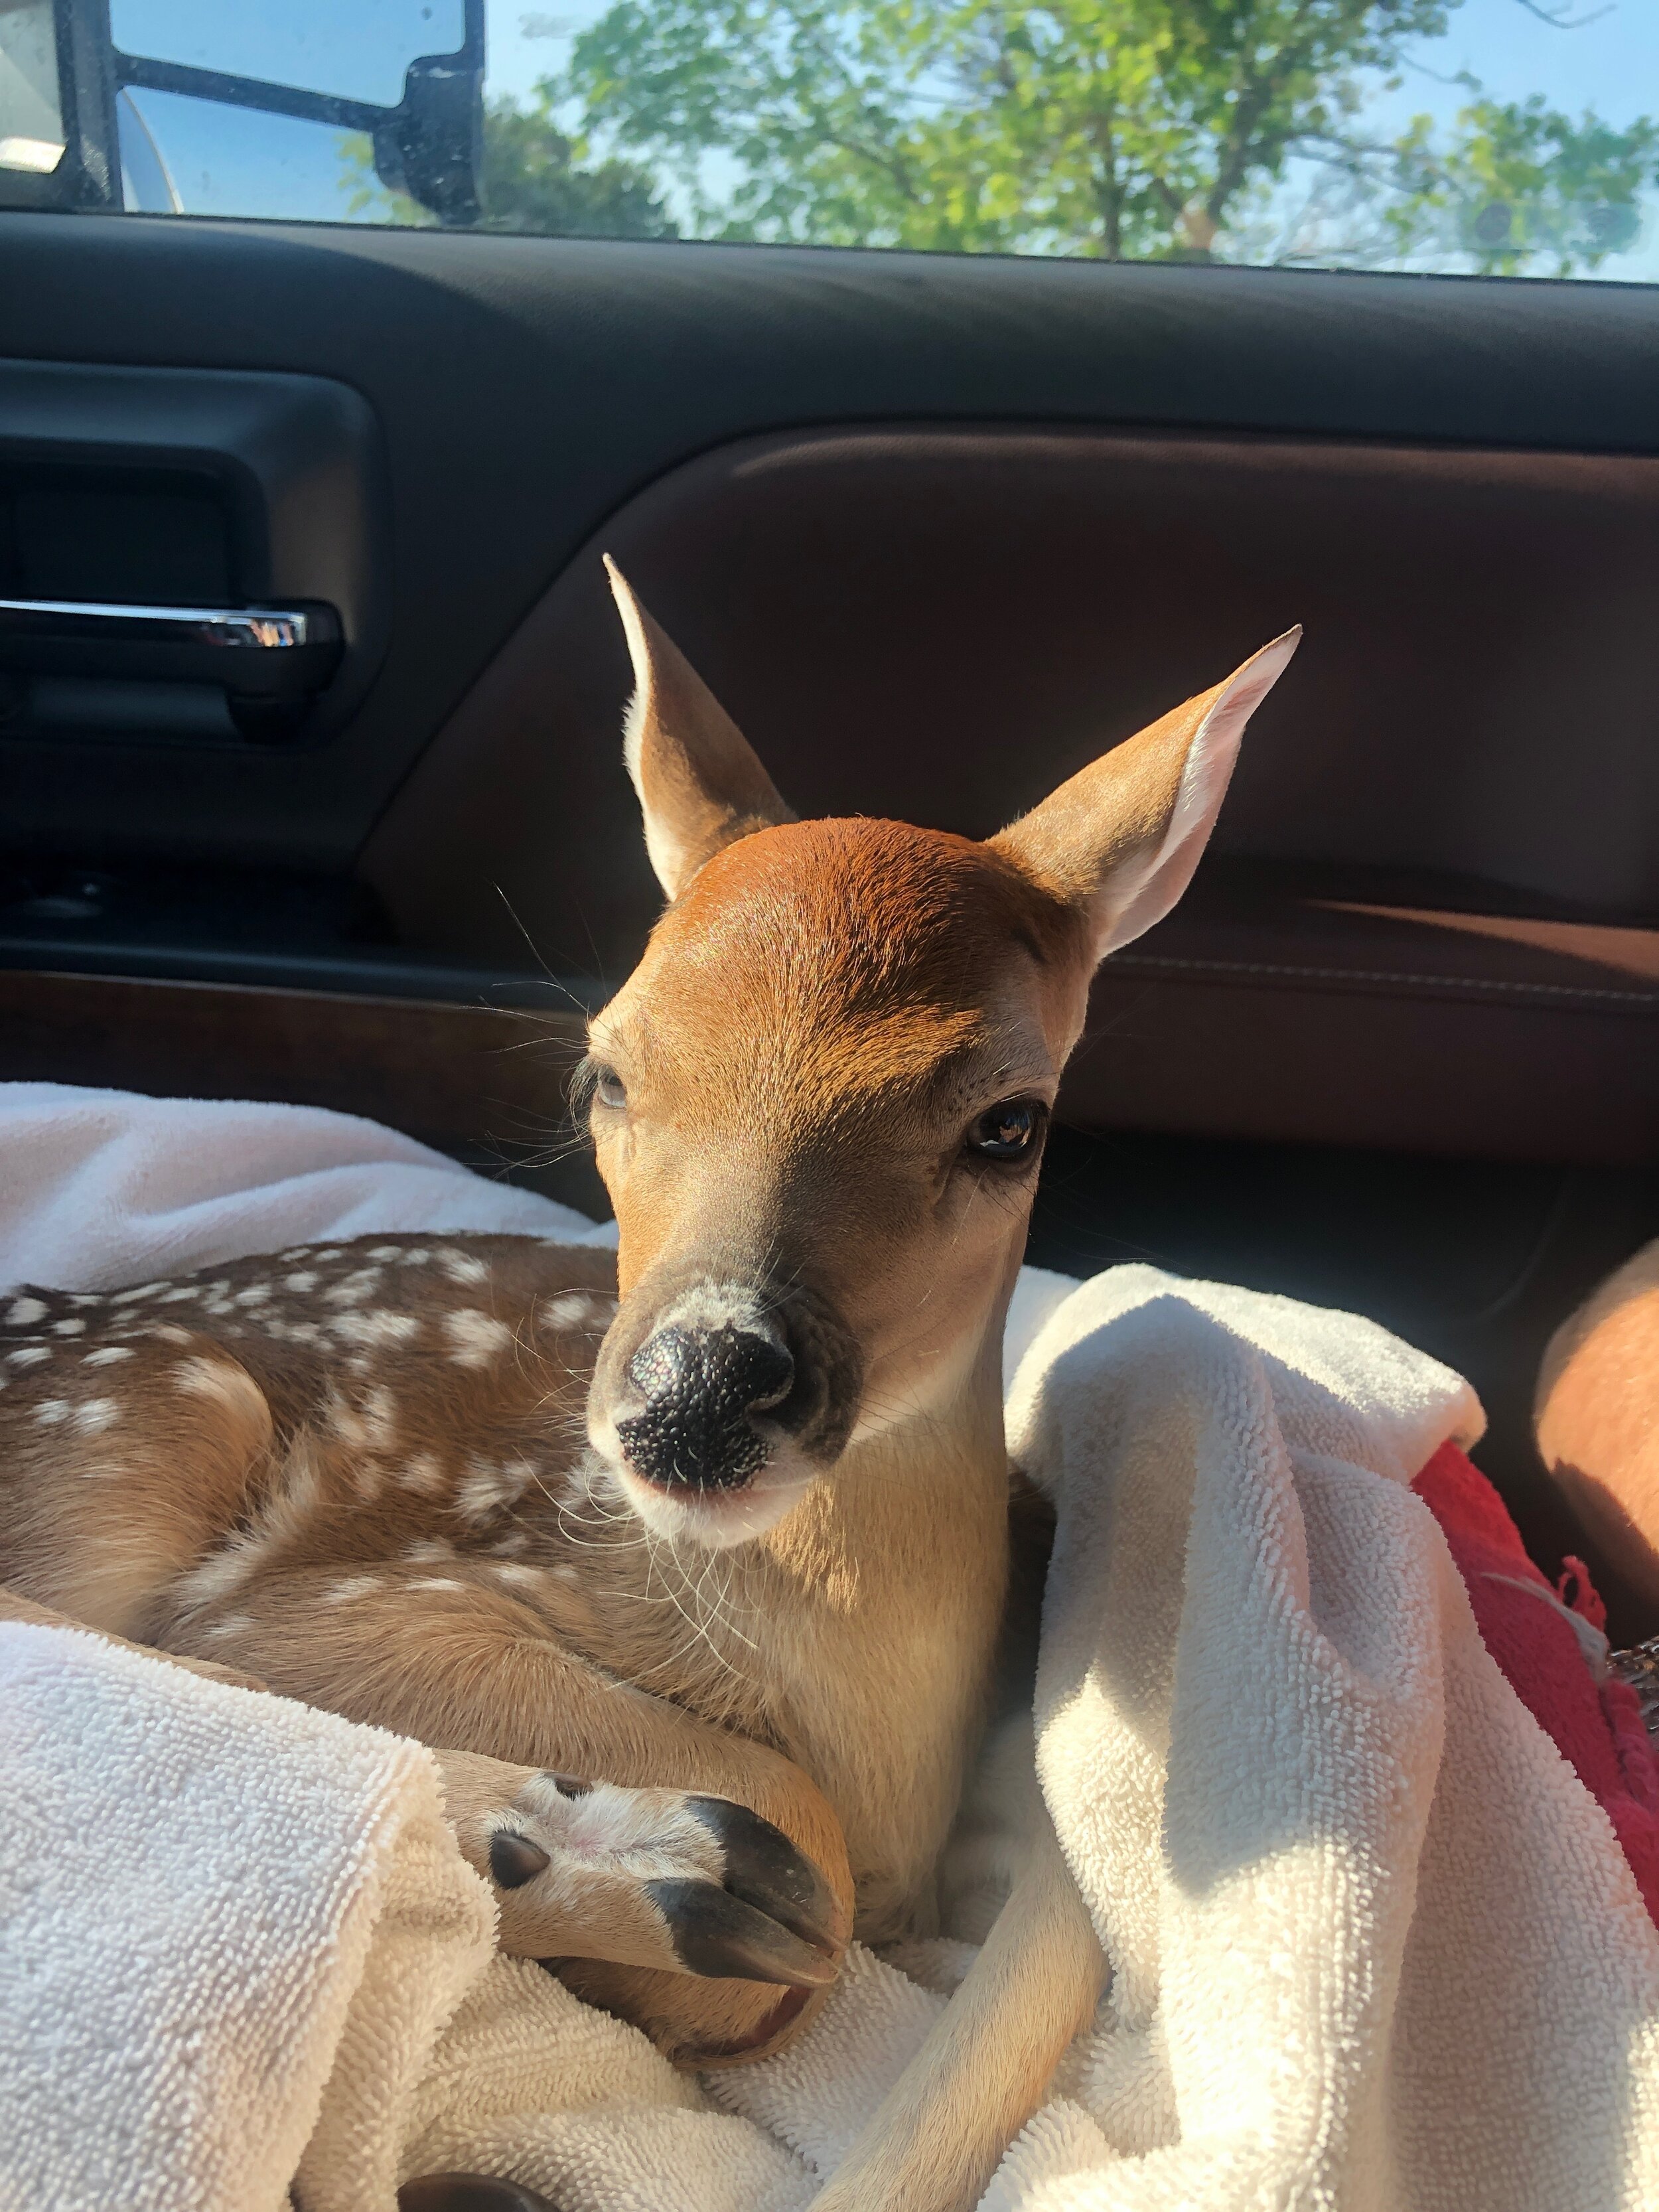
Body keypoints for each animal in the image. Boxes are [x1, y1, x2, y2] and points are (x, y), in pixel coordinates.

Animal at [0, 560, 1298, 2212]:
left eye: (1006, 1122)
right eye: (603, 1071)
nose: (694, 1393)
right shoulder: (326, 1600)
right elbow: (778, 1864)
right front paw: (632, 1876)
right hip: (158, 1407)